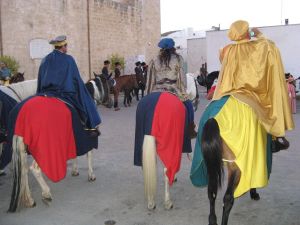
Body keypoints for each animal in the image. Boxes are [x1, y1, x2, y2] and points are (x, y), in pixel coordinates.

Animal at [191, 96, 276, 224]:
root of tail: (213, 119)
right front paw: (253, 192)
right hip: (235, 167)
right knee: (228, 198)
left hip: (210, 164)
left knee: (212, 192)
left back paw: (212, 220)